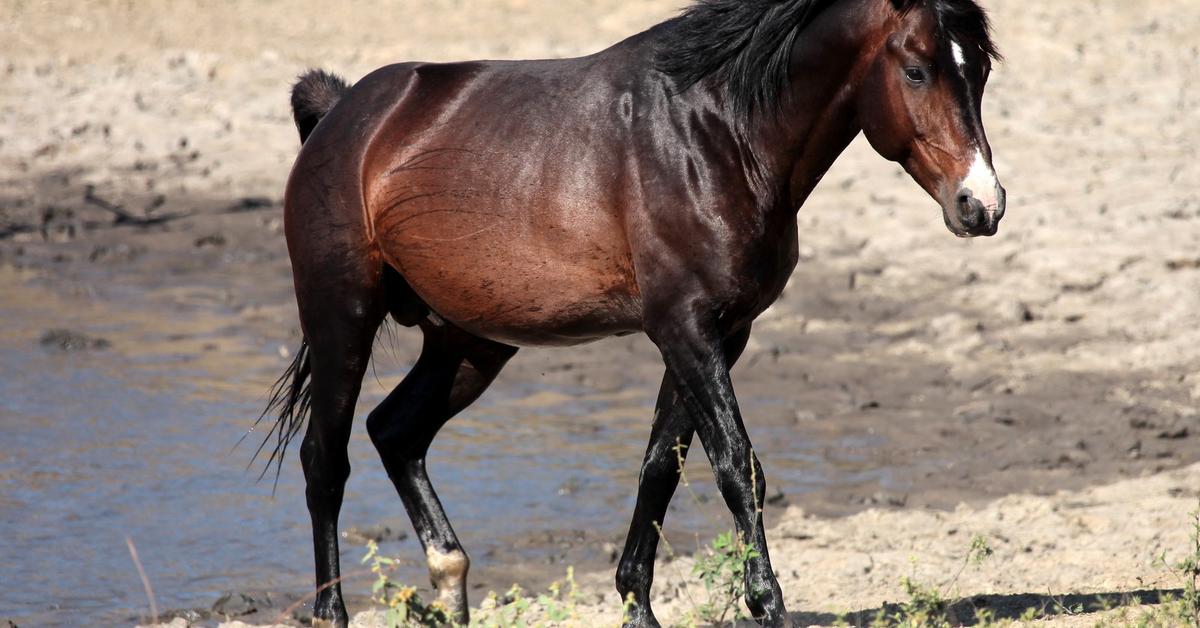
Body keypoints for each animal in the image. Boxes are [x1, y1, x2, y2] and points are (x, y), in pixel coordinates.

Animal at [260, 0, 1003, 624]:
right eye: (916, 69)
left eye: (982, 70)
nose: (982, 204)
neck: (715, 136)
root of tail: (344, 114)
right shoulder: (684, 328)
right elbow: (738, 468)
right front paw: (766, 603)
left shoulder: (720, 333)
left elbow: (661, 467)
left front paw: (638, 604)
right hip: (342, 316)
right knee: (326, 461)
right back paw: (333, 613)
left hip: (467, 343)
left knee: (396, 433)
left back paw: (450, 585)